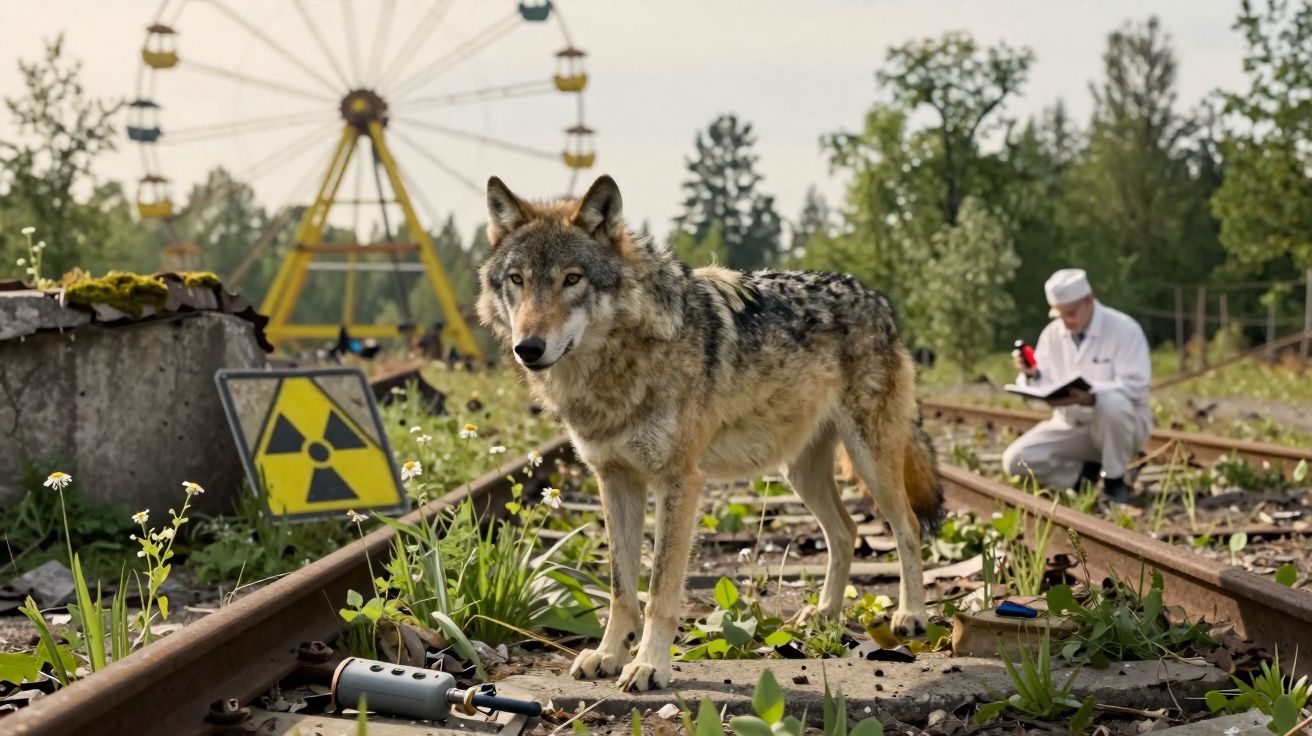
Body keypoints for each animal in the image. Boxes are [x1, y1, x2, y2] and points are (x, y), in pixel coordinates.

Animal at [476, 175, 943, 692]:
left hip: (870, 461)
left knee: (908, 528)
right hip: (801, 473)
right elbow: (621, 588)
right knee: (846, 531)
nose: (528, 348)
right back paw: (823, 614)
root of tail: (878, 300)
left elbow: (660, 590)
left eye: (572, 279)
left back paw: (911, 616)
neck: (618, 366)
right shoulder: (614, 479)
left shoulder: (680, 481)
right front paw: (608, 655)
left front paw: (648, 665)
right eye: (517, 280)